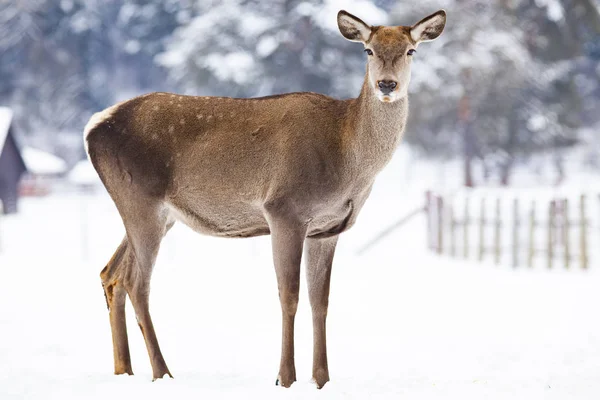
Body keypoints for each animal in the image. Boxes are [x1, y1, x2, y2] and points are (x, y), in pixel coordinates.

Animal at [84, 9, 446, 390]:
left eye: (410, 50)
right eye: (368, 50)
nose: (387, 85)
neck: (349, 160)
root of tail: (93, 127)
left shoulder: (328, 229)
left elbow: (321, 301)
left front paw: (322, 379)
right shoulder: (284, 209)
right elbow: (289, 296)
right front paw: (285, 377)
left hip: (159, 214)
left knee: (111, 273)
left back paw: (125, 369)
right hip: (141, 199)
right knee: (137, 283)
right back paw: (162, 371)